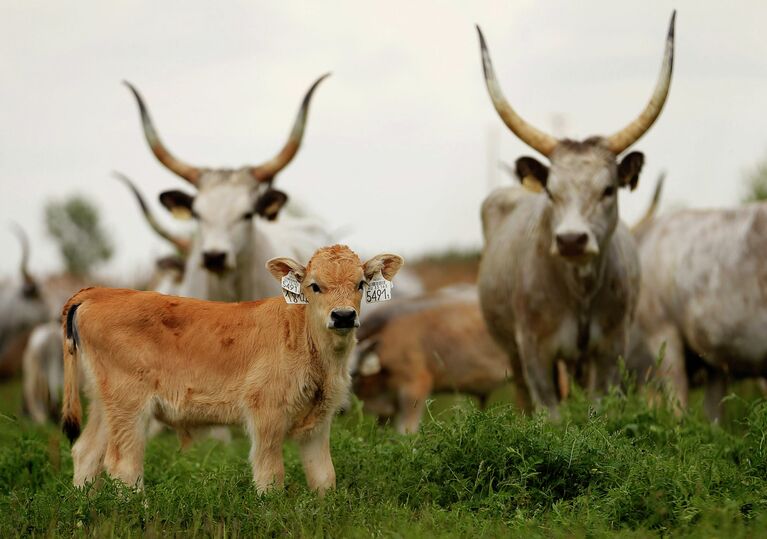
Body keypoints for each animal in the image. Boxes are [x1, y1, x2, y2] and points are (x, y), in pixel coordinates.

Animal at [63, 245, 404, 494]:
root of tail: (99, 292)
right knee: (123, 465)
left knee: (86, 453)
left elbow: (323, 477)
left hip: (105, 405)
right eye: (315, 286)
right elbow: (270, 476)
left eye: (360, 284)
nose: (343, 316)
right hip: (129, 405)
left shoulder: (318, 423)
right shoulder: (266, 416)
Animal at [476, 13, 676, 418]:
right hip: (512, 350)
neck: (579, 288)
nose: (571, 240)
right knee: (522, 393)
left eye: (608, 189)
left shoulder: (611, 348)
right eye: (551, 192)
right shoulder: (534, 350)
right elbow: (550, 414)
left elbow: (599, 409)